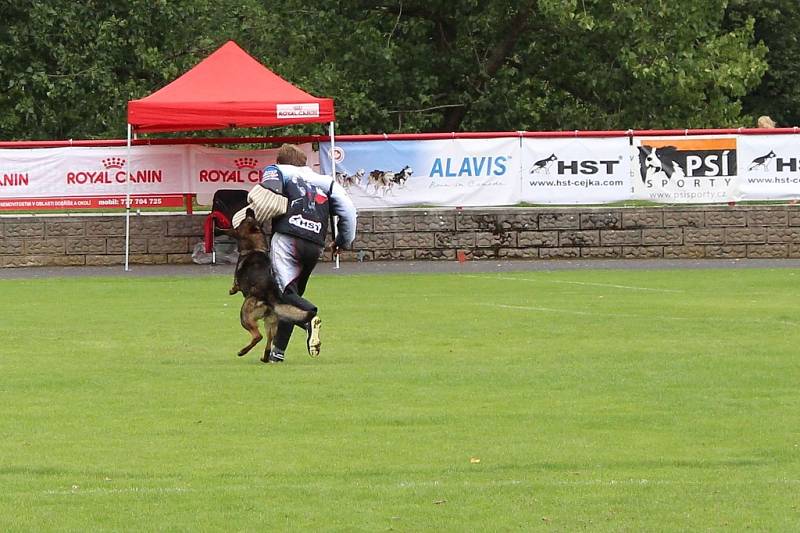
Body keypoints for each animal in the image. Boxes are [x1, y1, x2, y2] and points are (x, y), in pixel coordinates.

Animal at [222, 208, 318, 362]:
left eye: (246, 219)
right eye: (252, 216)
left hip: (245, 315)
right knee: (269, 340)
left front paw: (231, 290)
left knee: (258, 336)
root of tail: (271, 298)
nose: (250, 209)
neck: (255, 248)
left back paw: (242, 351)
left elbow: (235, 285)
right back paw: (265, 357)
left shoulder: (237, 279)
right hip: (271, 323)